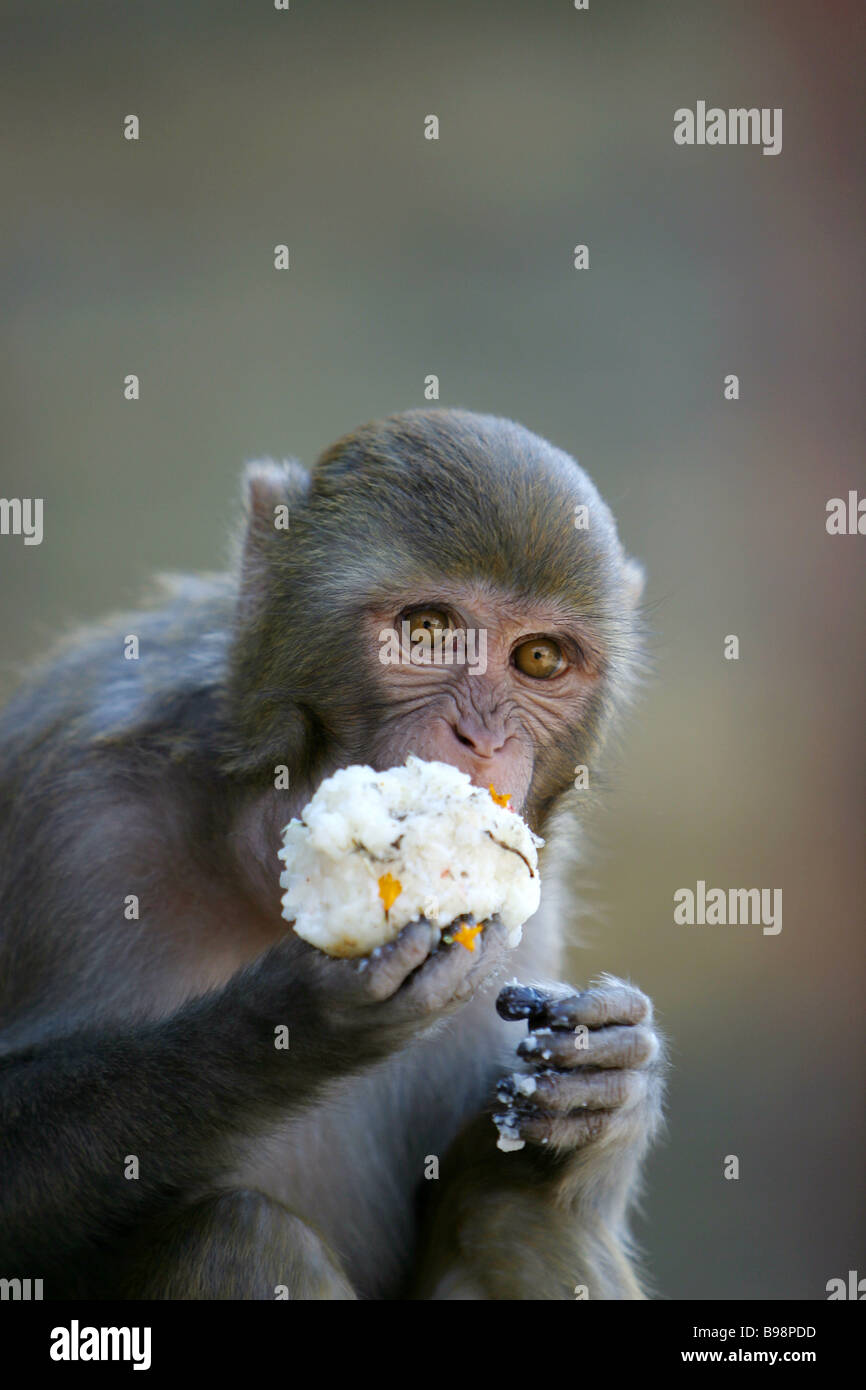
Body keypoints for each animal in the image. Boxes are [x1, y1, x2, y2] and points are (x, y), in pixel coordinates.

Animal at [0, 408, 665, 1300]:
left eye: (539, 659)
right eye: (427, 632)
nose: (484, 740)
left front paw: (606, 1095)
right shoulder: (72, 814)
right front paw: (291, 1023)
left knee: (513, 1220)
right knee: (238, 1228)